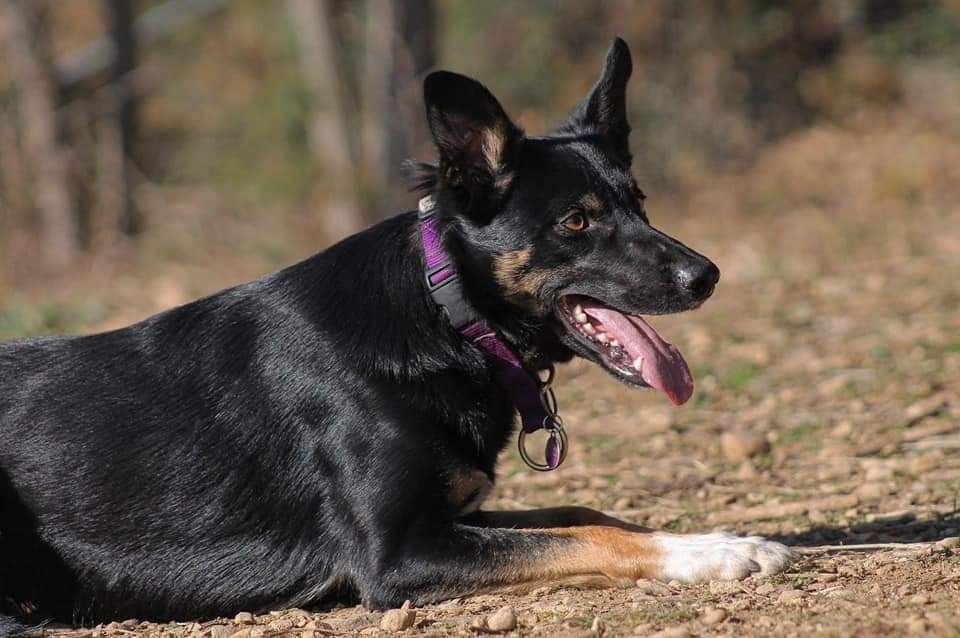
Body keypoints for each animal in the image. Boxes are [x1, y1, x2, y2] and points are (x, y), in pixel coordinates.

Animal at [0, 40, 788, 636]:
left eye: (640, 203)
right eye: (575, 221)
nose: (707, 275)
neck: (447, 318)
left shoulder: (451, 517)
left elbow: (583, 513)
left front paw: (720, 538)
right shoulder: (396, 555)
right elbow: (589, 535)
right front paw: (715, 556)